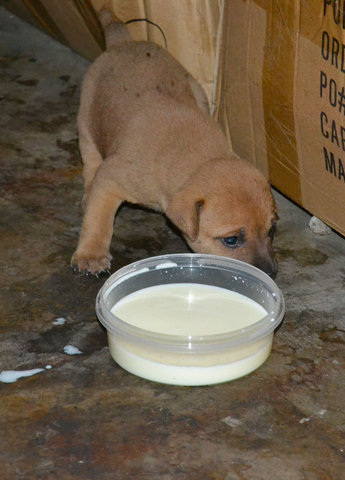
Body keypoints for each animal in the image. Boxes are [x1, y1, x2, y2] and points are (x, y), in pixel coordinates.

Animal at [71, 12, 278, 278]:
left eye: (271, 230)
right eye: (231, 240)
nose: (270, 273)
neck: (198, 159)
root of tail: (123, 42)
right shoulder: (111, 178)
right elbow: (98, 219)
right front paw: (91, 254)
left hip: (196, 90)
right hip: (86, 122)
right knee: (90, 163)